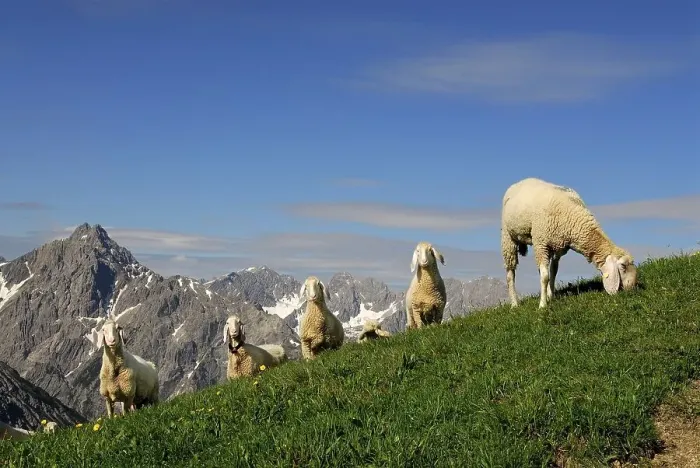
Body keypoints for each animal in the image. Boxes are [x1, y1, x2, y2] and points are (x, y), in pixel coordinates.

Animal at [501, 177, 638, 309]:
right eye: (623, 266)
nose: (632, 288)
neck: (571, 215)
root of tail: (520, 182)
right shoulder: (541, 242)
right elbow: (545, 277)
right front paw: (542, 305)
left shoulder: (558, 247)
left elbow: (552, 272)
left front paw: (551, 296)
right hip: (508, 237)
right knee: (510, 273)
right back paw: (514, 304)